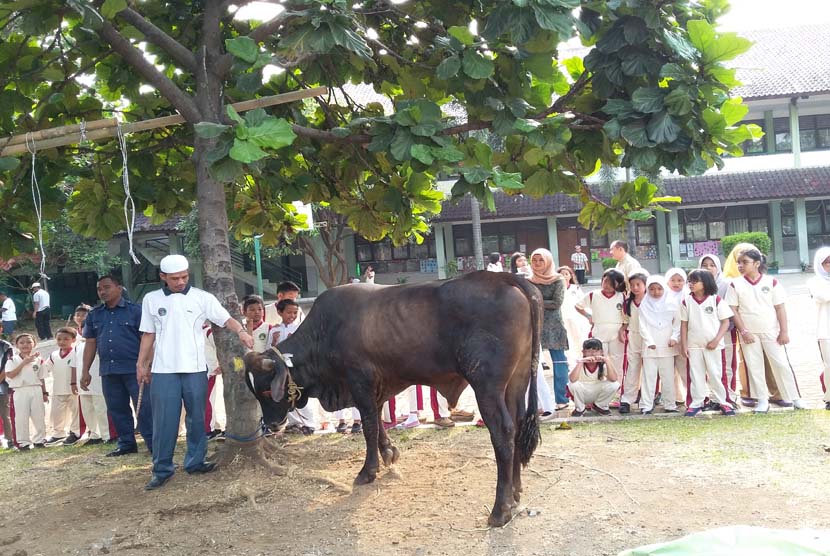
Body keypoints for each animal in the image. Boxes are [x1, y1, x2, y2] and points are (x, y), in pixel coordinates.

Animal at [245, 272, 544, 528]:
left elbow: (368, 426)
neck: (324, 333)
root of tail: (505, 278)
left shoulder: (360, 382)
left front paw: (367, 471)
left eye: (268, 391)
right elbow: (377, 420)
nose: (271, 424)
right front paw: (389, 452)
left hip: (487, 386)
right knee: (518, 424)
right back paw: (515, 492)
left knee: (503, 432)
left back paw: (500, 509)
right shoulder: (379, 385)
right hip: (517, 381)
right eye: (255, 392)